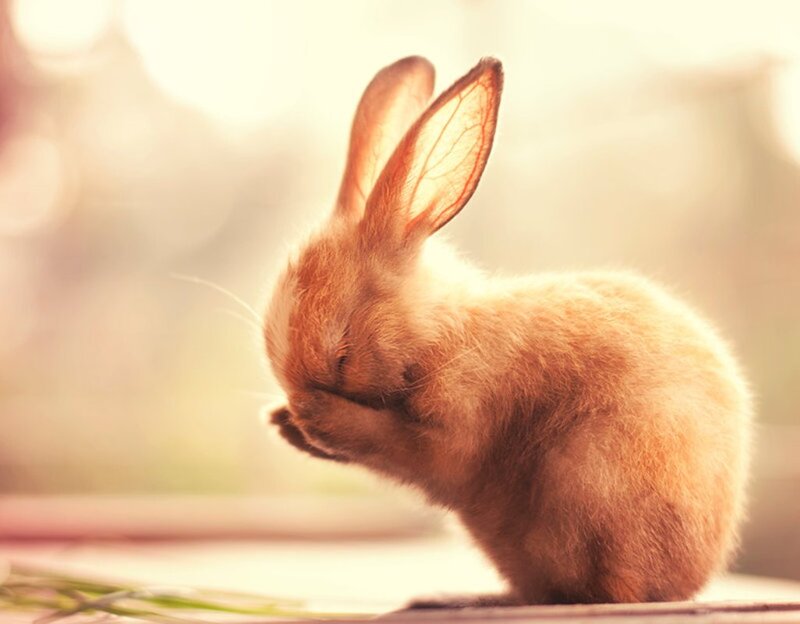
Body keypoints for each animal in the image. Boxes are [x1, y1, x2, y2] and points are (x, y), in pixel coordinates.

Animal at [263, 56, 752, 606]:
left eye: (342, 354)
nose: (297, 399)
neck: (434, 335)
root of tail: (688, 580)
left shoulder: (455, 430)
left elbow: (400, 444)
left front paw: (312, 415)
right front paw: (284, 421)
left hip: (587, 486)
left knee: (603, 593)